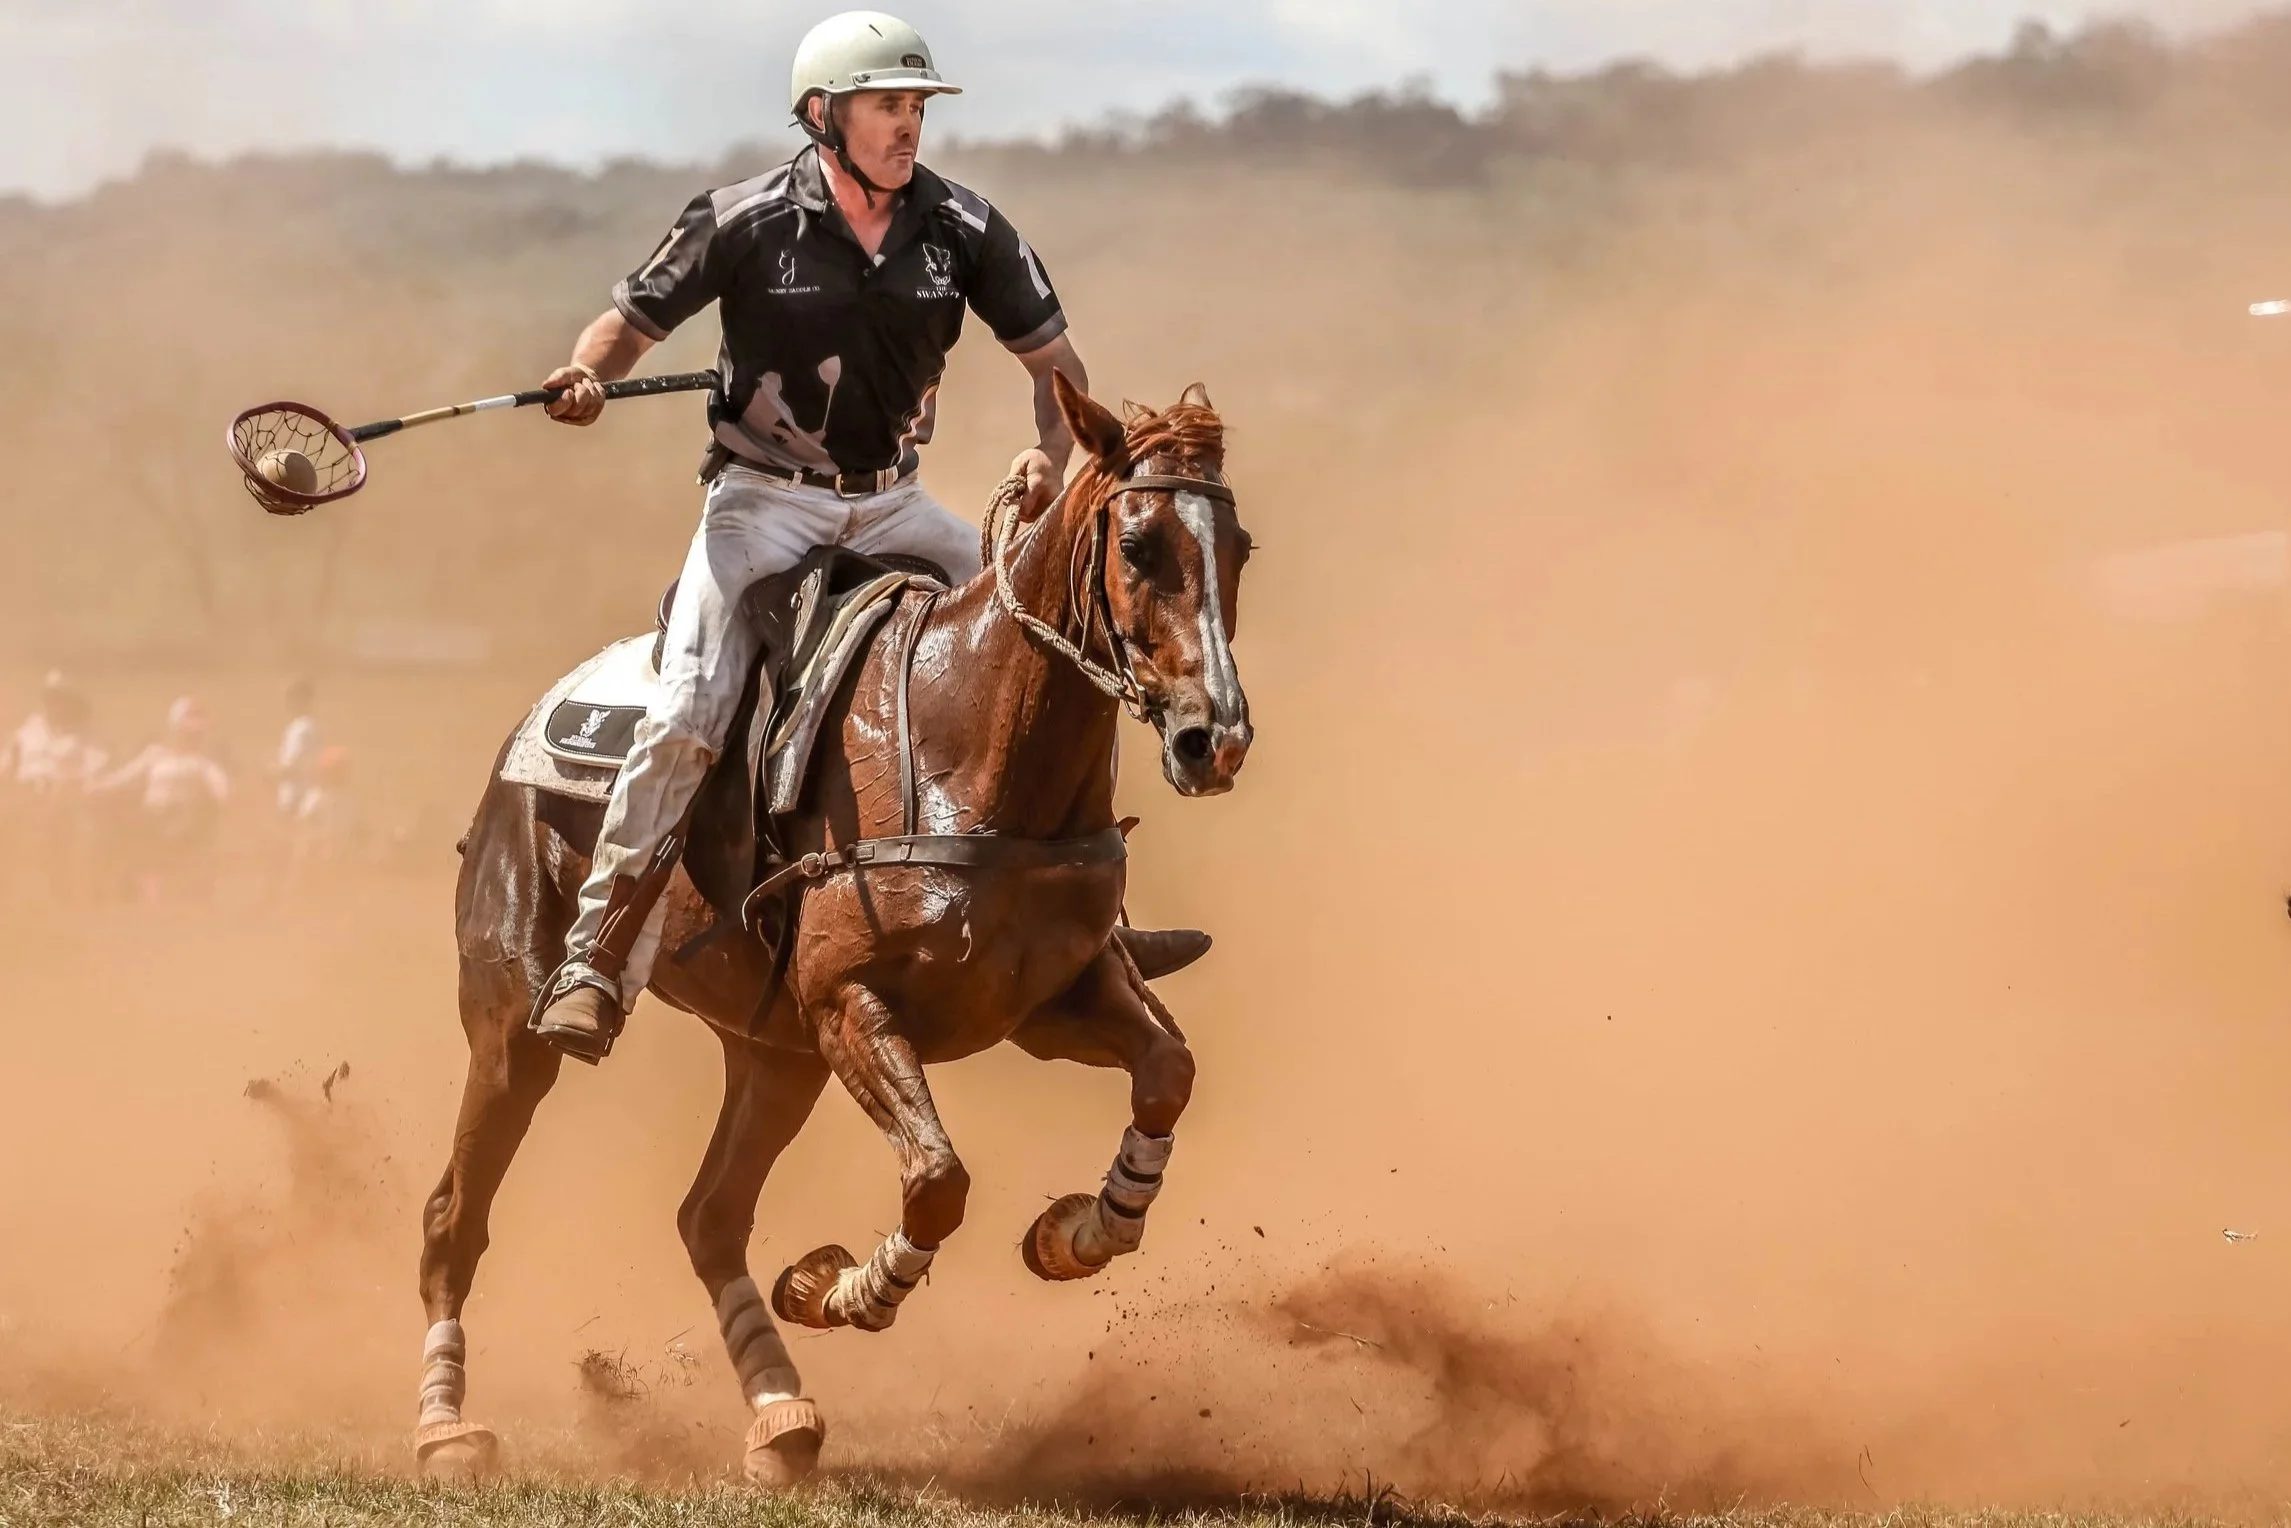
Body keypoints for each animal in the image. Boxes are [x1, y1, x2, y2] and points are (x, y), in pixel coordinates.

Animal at [413, 372, 1253, 1484]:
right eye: (1138, 543)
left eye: (1238, 547)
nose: (1215, 738)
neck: (968, 748)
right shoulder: (849, 1005)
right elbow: (938, 1178)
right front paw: (842, 1288)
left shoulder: (1050, 999)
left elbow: (1167, 1070)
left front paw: (1075, 1232)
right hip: (512, 1022)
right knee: (456, 1215)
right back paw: (444, 1427)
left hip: (772, 1052)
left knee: (709, 1216)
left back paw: (781, 1415)